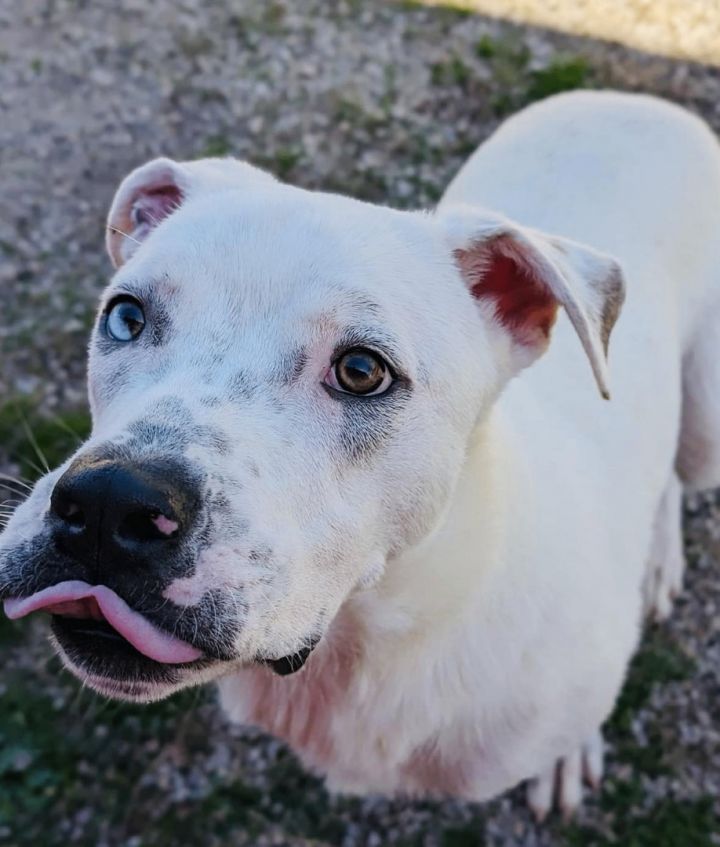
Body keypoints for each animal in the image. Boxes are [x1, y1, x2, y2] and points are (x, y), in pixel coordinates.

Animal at [1, 93, 720, 820]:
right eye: (125, 316)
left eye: (361, 370)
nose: (106, 502)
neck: (381, 634)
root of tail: (629, 100)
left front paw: (567, 755)